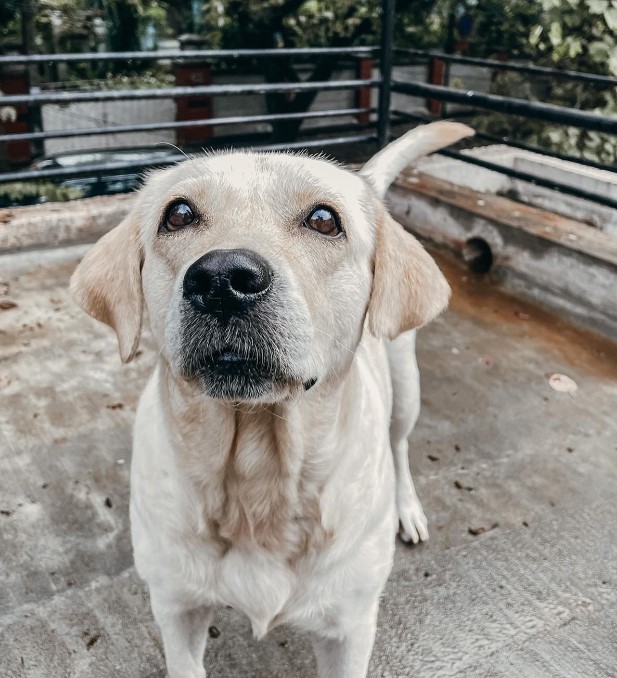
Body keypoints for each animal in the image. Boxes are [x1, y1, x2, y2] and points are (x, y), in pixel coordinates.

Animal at [71, 123, 472, 678]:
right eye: (179, 213)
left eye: (324, 219)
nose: (222, 279)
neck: (257, 478)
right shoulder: (176, 609)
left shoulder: (349, 631)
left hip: (405, 382)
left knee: (400, 445)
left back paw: (406, 508)